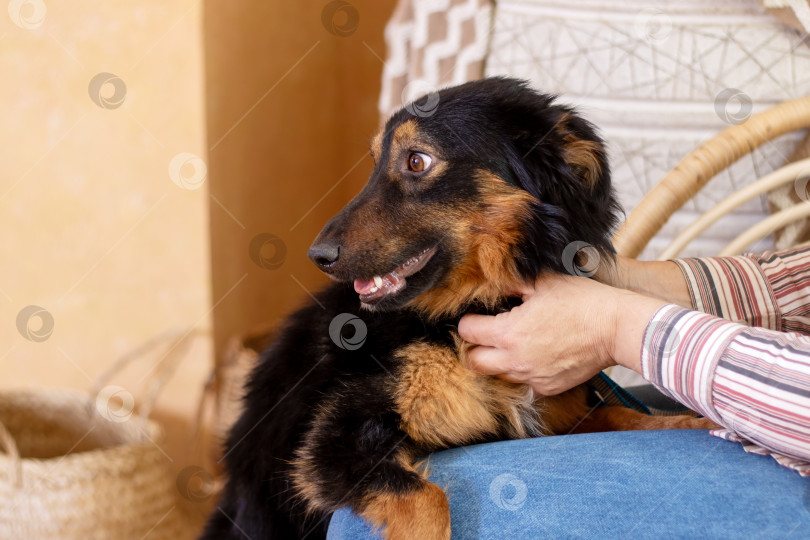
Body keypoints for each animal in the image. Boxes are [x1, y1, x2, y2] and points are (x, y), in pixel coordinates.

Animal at [202, 77, 712, 540]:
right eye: (375, 162)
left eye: (416, 160)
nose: (318, 256)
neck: (475, 306)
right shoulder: (330, 443)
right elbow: (430, 501)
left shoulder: (559, 416)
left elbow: (627, 417)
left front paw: (692, 421)